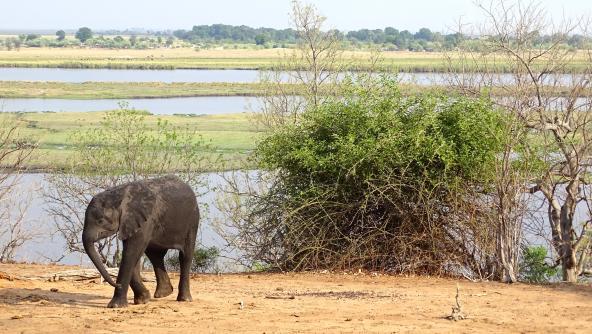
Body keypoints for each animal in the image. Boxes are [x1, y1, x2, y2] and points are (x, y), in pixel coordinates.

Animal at [82, 175, 201, 308]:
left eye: (101, 221)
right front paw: (143, 300)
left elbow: (131, 252)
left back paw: (184, 299)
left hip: (192, 220)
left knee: (185, 256)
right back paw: (163, 294)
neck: (120, 195)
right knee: (155, 255)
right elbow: (133, 254)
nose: (117, 284)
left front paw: (115, 306)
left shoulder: (145, 220)